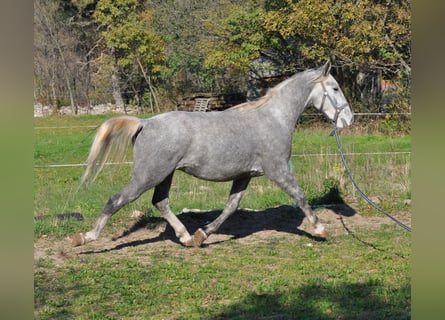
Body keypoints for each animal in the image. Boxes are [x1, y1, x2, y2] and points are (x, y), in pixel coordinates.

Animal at [71, 62, 352, 248]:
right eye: (335, 88)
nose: (348, 120)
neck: (273, 118)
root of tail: (145, 123)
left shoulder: (244, 175)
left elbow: (230, 207)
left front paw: (202, 234)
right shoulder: (278, 171)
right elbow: (300, 196)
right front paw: (320, 229)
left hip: (164, 175)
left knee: (160, 202)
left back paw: (186, 237)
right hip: (147, 176)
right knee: (116, 200)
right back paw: (85, 238)